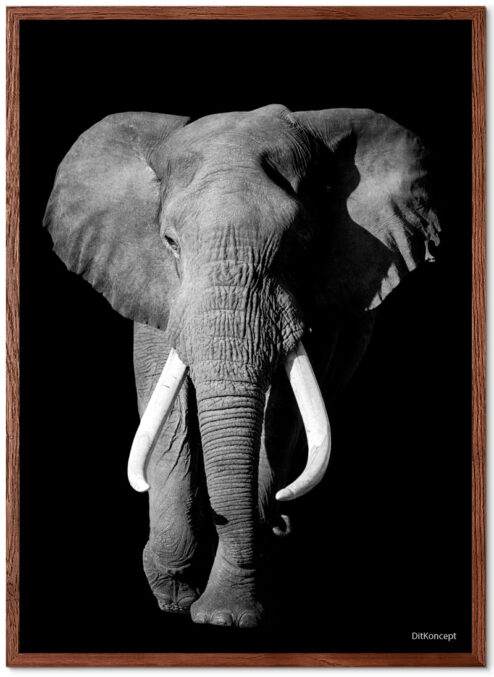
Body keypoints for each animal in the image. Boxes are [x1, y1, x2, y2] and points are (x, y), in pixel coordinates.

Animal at [43, 104, 440, 629]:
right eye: (170, 241)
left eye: (302, 241)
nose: (225, 518)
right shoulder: (150, 280)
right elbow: (165, 407)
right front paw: (176, 594)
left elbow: (283, 417)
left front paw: (225, 614)